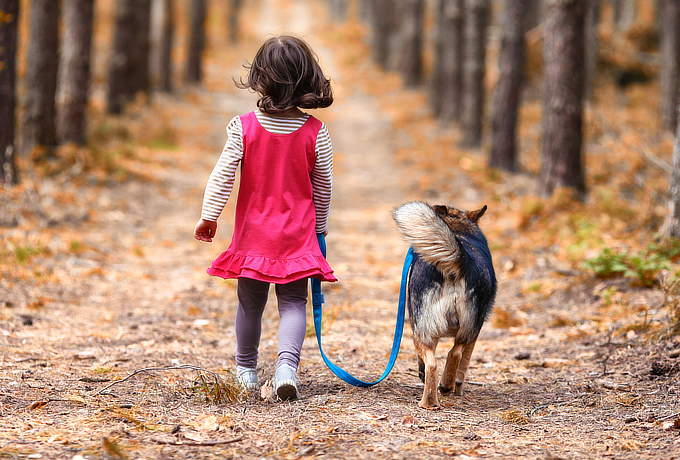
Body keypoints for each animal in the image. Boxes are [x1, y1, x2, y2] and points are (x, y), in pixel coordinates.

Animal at [390, 201, 496, 410]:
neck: (458, 229)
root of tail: (460, 263)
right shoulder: (474, 333)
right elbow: (464, 363)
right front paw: (458, 387)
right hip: (466, 328)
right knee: (455, 353)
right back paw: (445, 387)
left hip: (423, 330)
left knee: (434, 363)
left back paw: (429, 401)